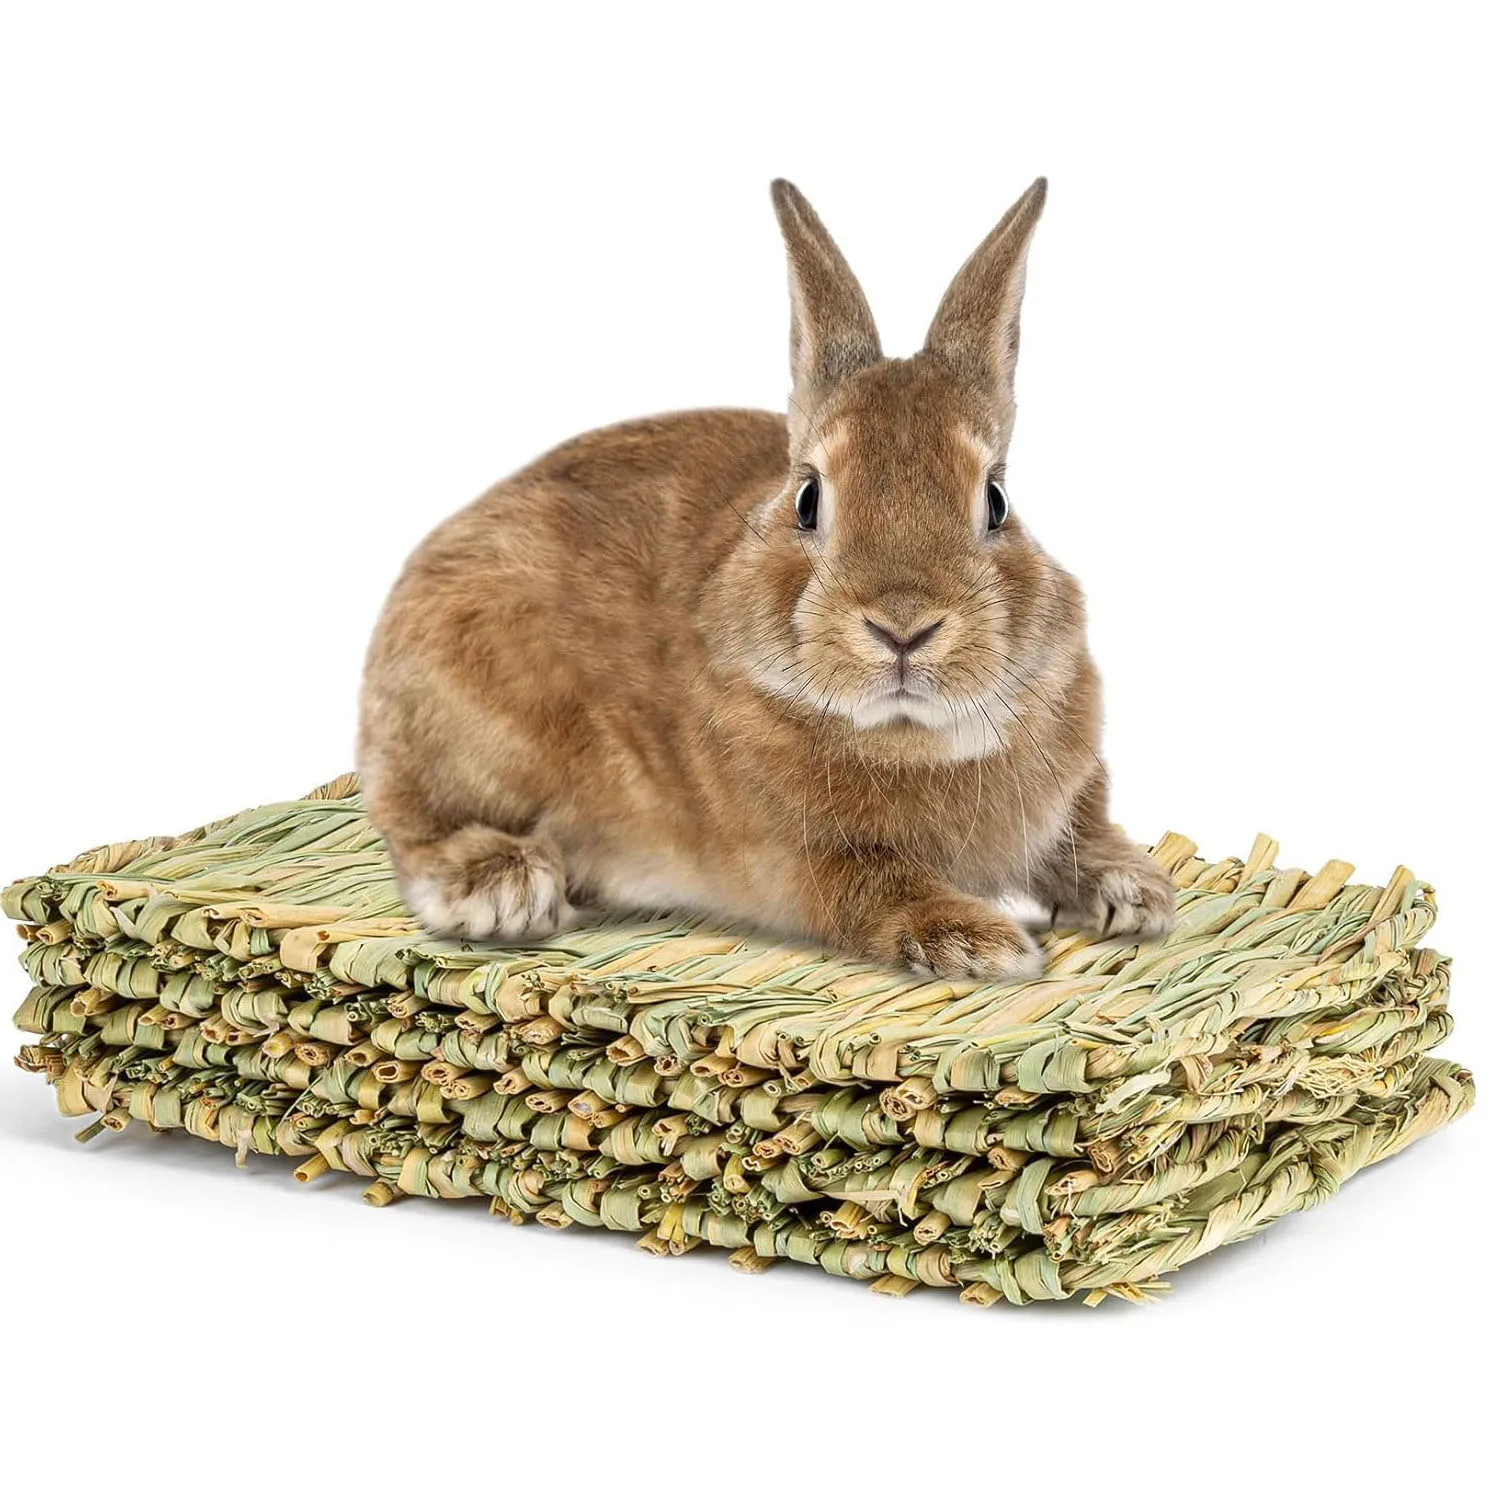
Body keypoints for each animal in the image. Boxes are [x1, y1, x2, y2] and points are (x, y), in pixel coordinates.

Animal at [358, 177, 1175, 981]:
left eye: (997, 501)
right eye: (808, 498)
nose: (903, 627)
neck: (910, 737)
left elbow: (1080, 833)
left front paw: (1136, 892)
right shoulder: (798, 860)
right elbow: (874, 887)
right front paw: (984, 944)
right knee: (410, 824)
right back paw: (501, 886)